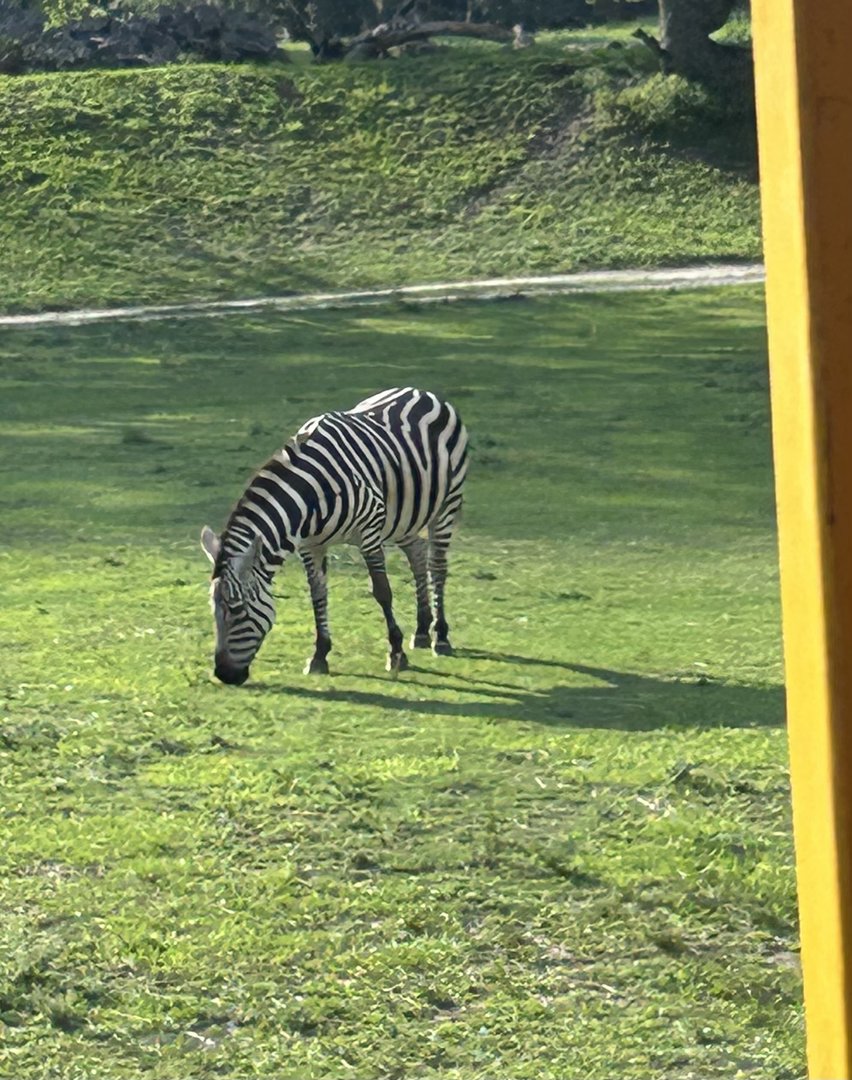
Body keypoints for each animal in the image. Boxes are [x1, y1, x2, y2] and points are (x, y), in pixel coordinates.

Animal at [200, 387, 468, 686]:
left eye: (237, 610)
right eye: (212, 609)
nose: (223, 674)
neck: (310, 496)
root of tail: (422, 391)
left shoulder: (370, 531)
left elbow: (382, 592)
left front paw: (396, 653)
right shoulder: (311, 546)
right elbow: (318, 595)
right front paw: (319, 655)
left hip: (446, 505)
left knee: (438, 566)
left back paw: (440, 636)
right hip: (404, 516)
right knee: (418, 554)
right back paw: (421, 630)